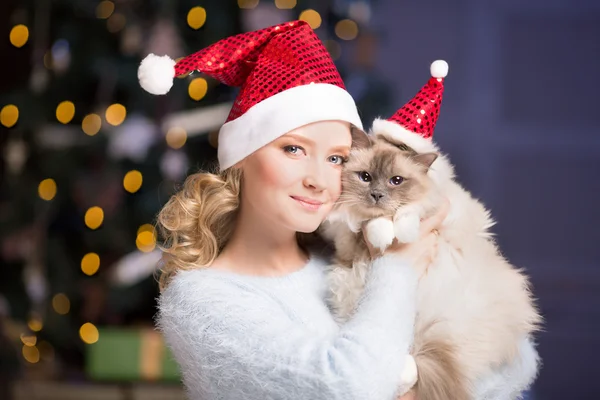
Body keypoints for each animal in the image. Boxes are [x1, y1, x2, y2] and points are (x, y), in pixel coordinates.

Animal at [322, 122, 540, 400]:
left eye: (396, 181)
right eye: (365, 177)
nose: (377, 195)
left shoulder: (441, 207)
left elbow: (409, 211)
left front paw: (400, 231)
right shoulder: (346, 242)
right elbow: (364, 224)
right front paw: (381, 233)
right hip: (348, 291)